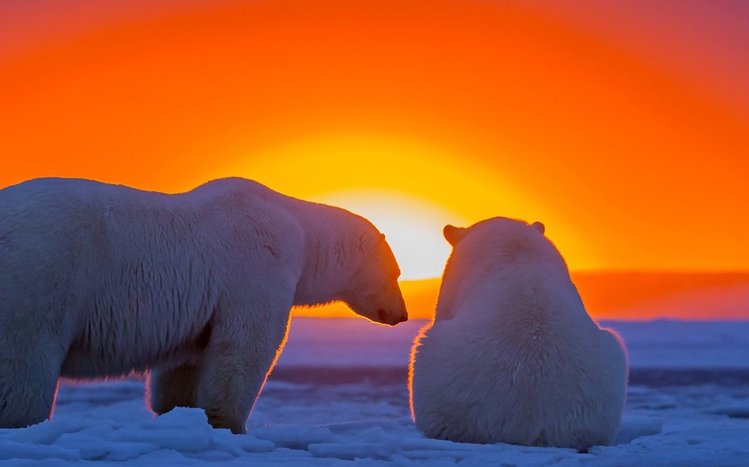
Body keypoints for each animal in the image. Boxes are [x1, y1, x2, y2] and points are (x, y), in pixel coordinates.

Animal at [0, 177, 407, 433]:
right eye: (396, 273)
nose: (401, 315)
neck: (300, 232)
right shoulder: (257, 266)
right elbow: (244, 347)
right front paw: (233, 424)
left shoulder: (200, 308)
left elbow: (186, 363)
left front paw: (178, 413)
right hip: (41, 277)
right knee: (24, 366)